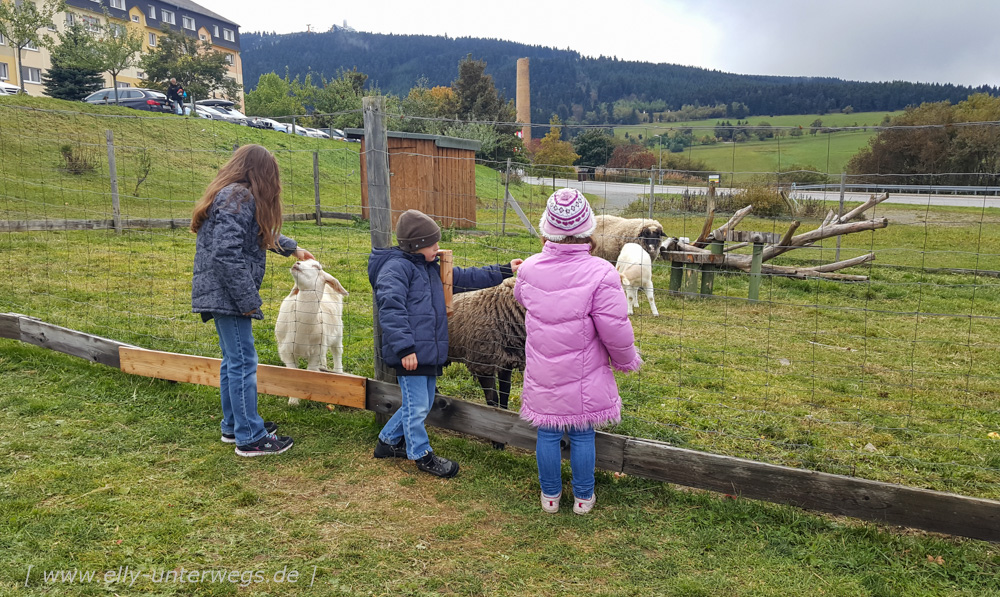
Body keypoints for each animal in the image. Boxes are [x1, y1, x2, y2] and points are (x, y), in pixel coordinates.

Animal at [276, 258, 350, 406]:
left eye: (316, 267)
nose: (297, 263)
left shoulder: (315, 352)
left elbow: (309, 372)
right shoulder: (286, 350)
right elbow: (293, 373)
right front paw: (293, 401)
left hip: (338, 330)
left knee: (337, 352)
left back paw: (338, 371)